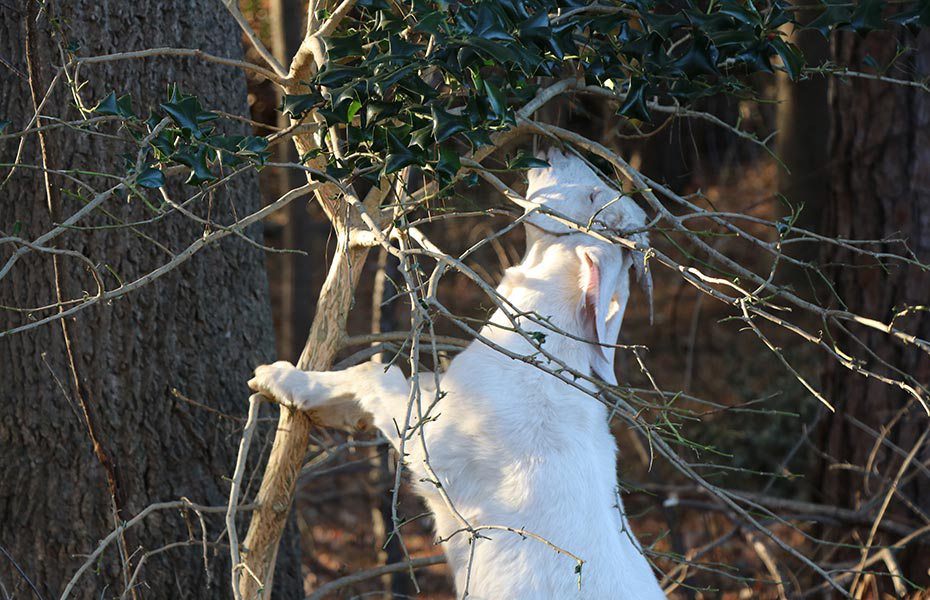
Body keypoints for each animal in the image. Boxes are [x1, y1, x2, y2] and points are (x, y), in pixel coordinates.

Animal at [249, 148, 666, 599]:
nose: (562, 150)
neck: (541, 348)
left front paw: (282, 380)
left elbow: (374, 373)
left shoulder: (429, 443)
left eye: (592, 197)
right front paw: (341, 415)